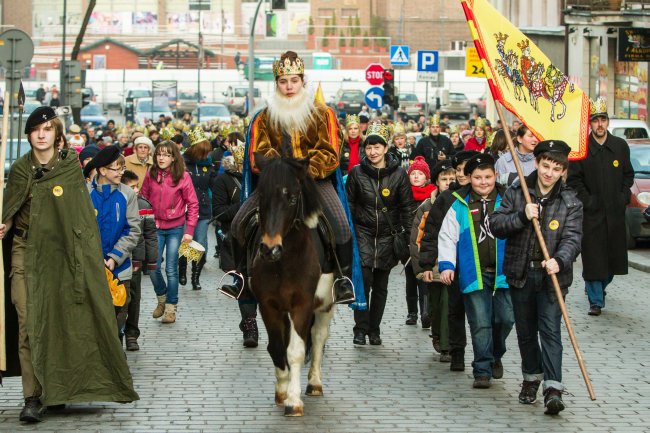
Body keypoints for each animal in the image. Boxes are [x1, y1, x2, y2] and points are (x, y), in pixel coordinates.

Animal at [249, 153, 334, 416]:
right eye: (261, 196)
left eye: (293, 198)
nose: (269, 249)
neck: (284, 261)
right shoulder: (268, 305)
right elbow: (277, 347)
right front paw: (282, 391)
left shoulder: (302, 304)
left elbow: (296, 350)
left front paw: (294, 401)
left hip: (327, 303)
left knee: (318, 337)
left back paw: (314, 383)